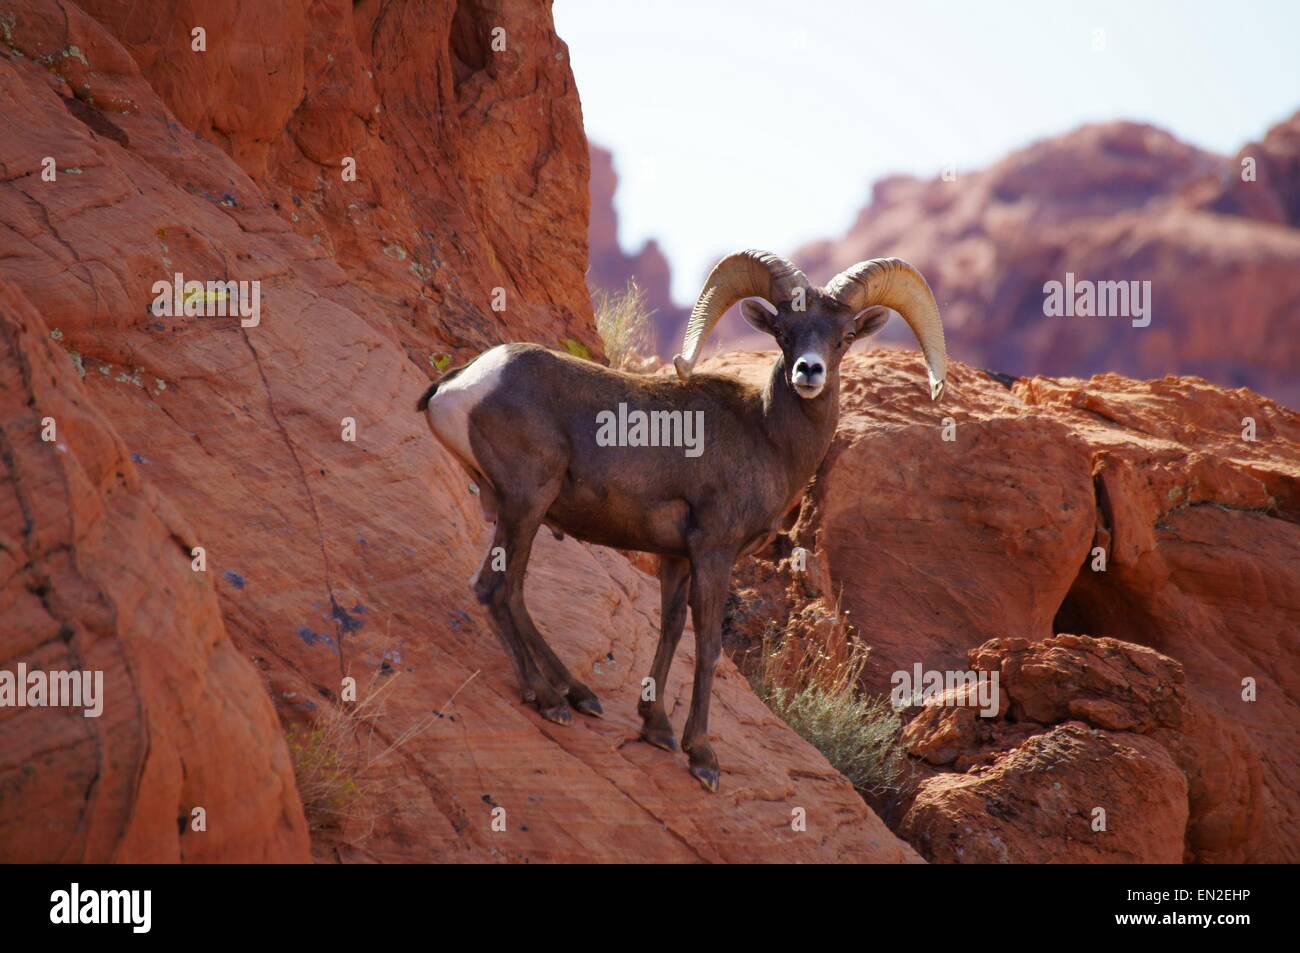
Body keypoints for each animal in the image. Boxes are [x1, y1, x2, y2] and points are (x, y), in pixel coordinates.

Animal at [421, 249, 951, 790]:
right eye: (784, 331)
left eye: (843, 336)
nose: (808, 371)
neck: (765, 436)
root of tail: (457, 385)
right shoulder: (714, 553)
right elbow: (709, 646)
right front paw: (702, 757)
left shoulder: (675, 557)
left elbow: (670, 630)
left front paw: (656, 728)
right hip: (525, 503)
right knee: (496, 589)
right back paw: (551, 700)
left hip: (518, 512)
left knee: (513, 593)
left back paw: (579, 694)